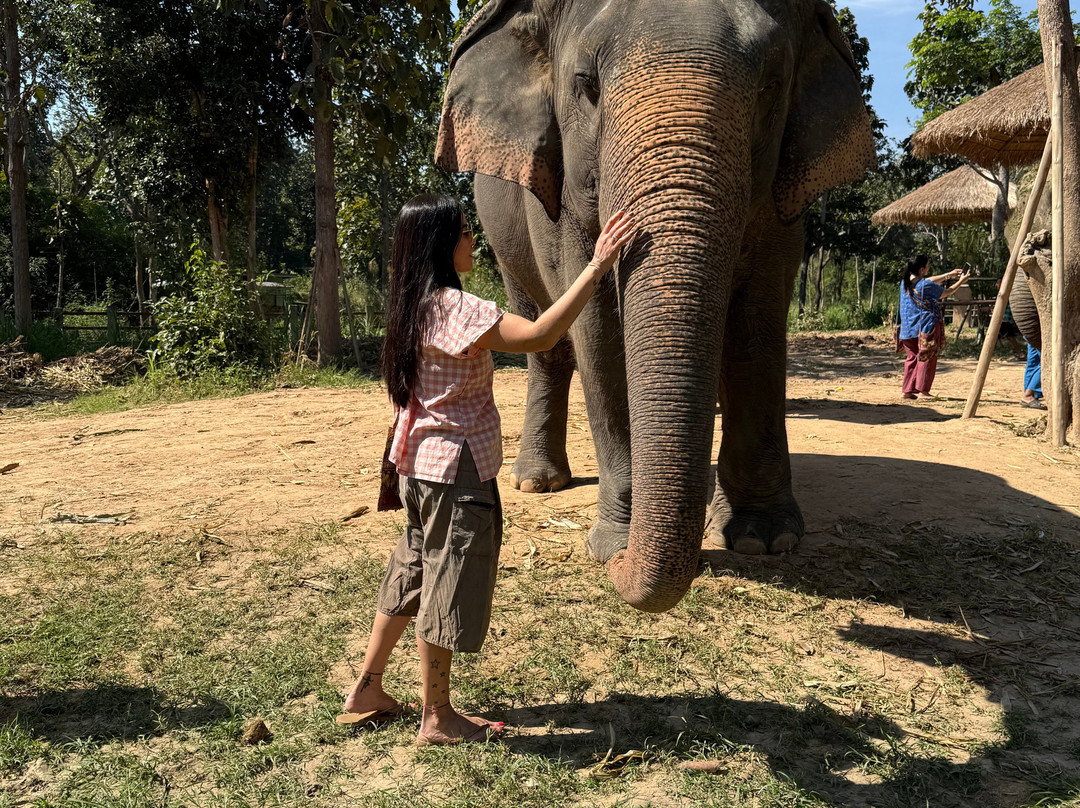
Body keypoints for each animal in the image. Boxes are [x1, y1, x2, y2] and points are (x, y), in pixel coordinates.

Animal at [435, 0, 875, 612]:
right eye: (587, 86)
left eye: (772, 86)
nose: (620, 568)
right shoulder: (560, 203)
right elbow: (597, 330)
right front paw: (614, 544)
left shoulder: (784, 202)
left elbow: (757, 322)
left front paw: (764, 540)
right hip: (502, 229)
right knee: (542, 336)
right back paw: (537, 483)